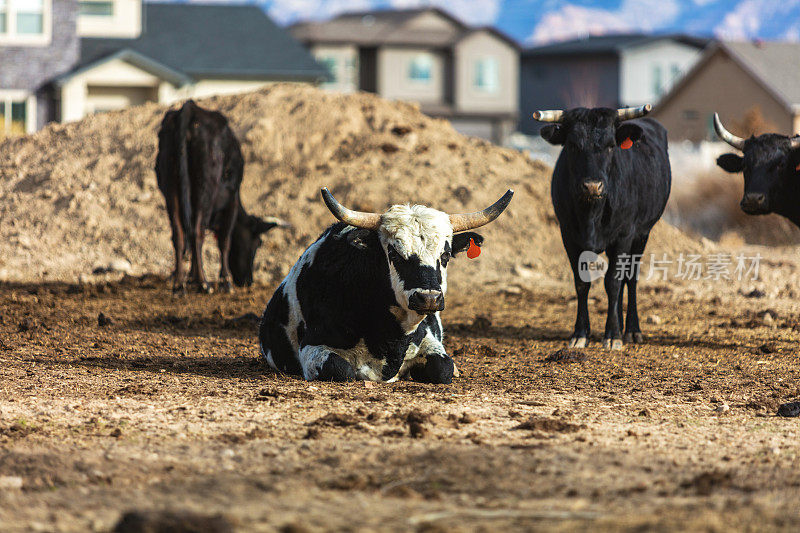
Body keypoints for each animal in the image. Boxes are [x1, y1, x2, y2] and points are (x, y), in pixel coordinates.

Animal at [260, 189, 516, 380]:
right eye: (394, 253)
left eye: (445, 255)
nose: (429, 298)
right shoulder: (312, 346)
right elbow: (340, 369)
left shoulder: (431, 341)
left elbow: (443, 368)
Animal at [536, 106, 672, 352]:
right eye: (573, 145)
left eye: (610, 145)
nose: (592, 186)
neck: (592, 213)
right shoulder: (569, 236)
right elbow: (582, 283)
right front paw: (580, 333)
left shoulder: (624, 235)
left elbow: (614, 282)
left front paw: (613, 335)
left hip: (642, 235)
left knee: (630, 278)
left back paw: (630, 330)